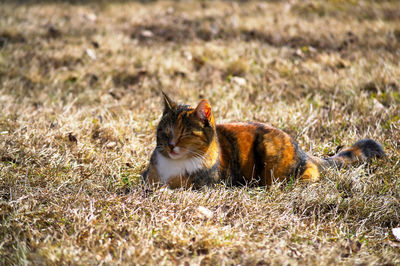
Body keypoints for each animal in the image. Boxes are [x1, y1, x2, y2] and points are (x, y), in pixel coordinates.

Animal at [142, 92, 386, 188]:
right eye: (164, 131)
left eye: (185, 133)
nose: (171, 146)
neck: (174, 165)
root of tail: (302, 150)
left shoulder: (205, 184)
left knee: (310, 172)